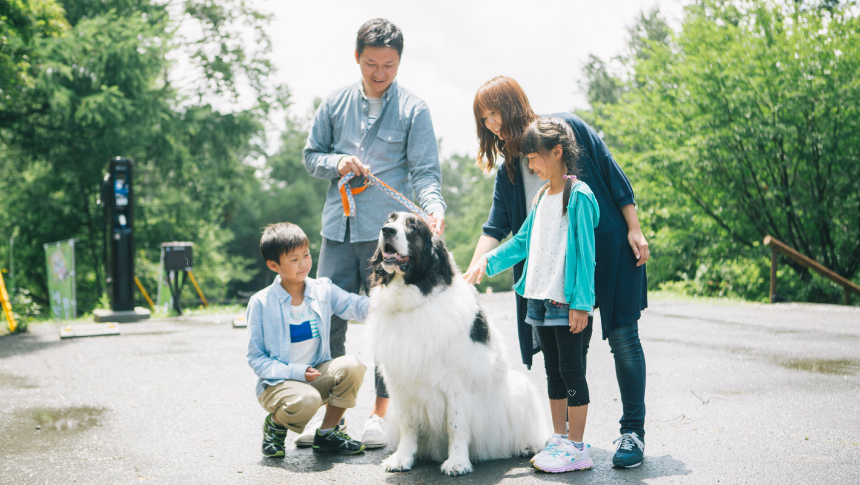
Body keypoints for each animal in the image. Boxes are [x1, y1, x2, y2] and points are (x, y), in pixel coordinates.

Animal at [368, 210, 544, 474]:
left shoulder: (456, 385)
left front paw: (458, 462)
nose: (386, 230)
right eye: (390, 219)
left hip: (519, 388)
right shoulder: (402, 384)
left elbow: (456, 424)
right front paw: (403, 458)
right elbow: (408, 424)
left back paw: (526, 446)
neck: (415, 300)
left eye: (413, 226)